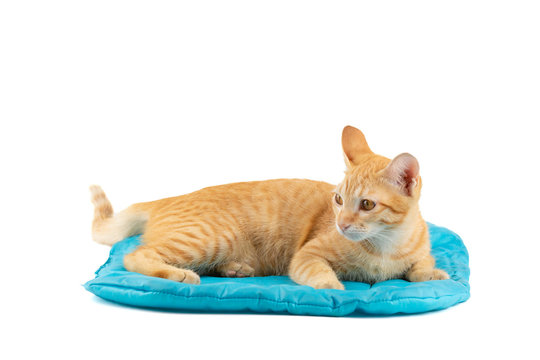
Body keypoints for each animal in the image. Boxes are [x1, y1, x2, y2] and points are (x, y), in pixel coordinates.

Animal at [90, 126, 450, 290]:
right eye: (338, 200)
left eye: (366, 204)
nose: (342, 225)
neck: (386, 245)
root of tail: (170, 197)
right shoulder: (306, 256)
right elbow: (320, 275)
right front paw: (336, 290)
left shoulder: (420, 253)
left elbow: (420, 268)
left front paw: (433, 274)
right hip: (211, 237)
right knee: (134, 256)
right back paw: (178, 274)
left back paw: (235, 269)